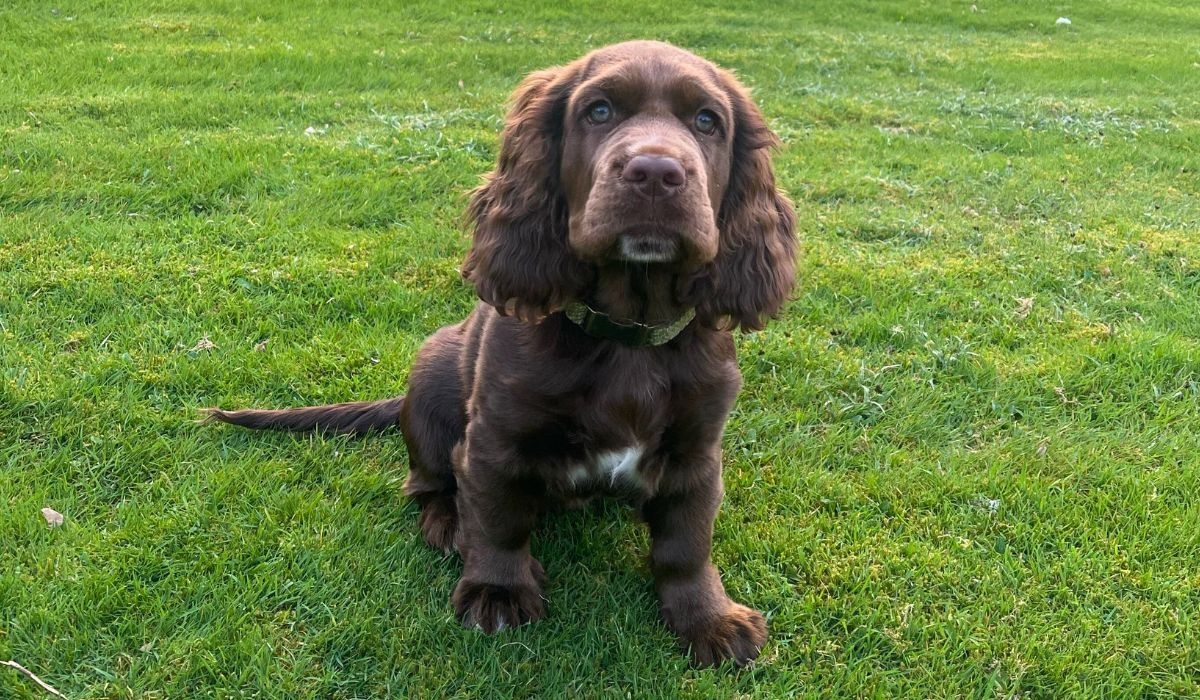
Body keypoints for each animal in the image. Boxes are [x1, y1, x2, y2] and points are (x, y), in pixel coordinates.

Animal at [212, 39, 801, 667]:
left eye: (707, 121)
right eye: (598, 111)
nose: (655, 173)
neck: (627, 333)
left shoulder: (697, 453)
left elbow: (686, 543)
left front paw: (709, 619)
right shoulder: (495, 438)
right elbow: (498, 518)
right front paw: (496, 590)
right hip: (430, 373)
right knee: (427, 484)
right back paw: (448, 525)